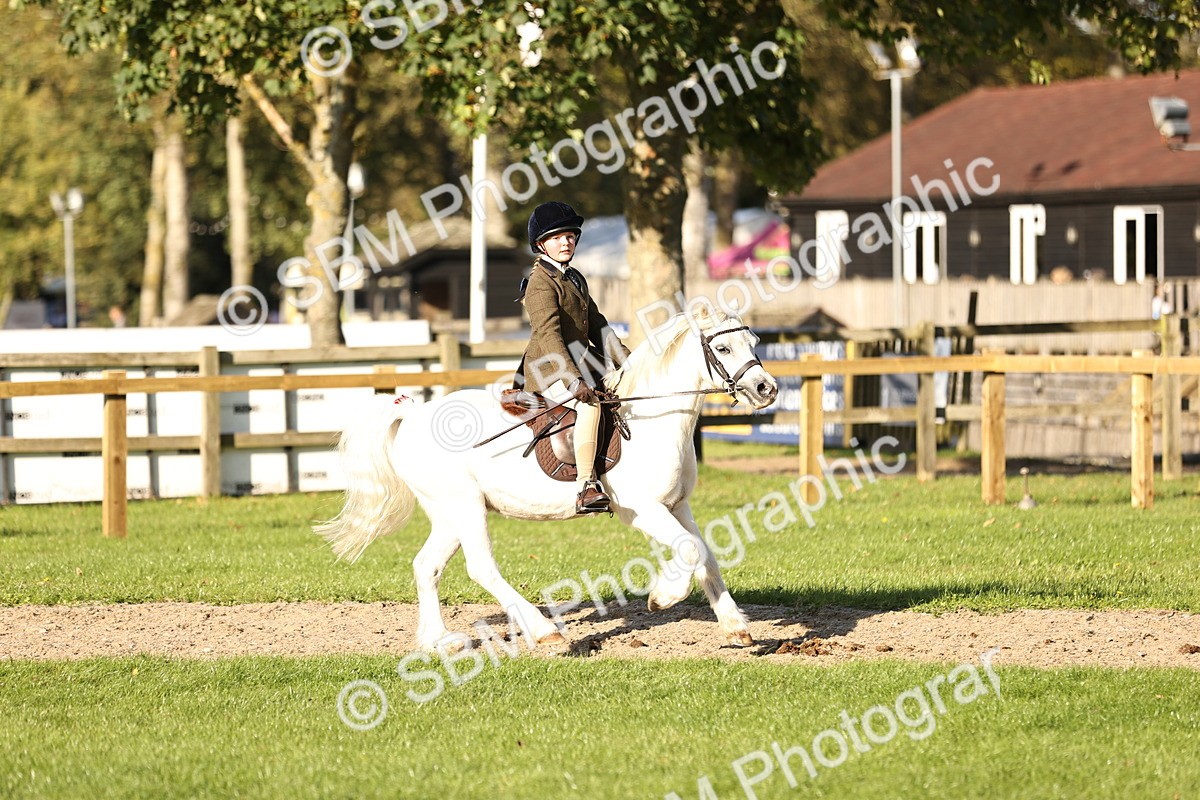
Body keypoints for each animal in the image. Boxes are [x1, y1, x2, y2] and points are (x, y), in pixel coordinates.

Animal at [315, 306, 779, 651]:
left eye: (753, 343)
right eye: (722, 346)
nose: (766, 389)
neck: (652, 419)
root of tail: (412, 414)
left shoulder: (677, 506)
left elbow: (706, 555)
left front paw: (735, 625)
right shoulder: (643, 510)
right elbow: (690, 550)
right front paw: (663, 595)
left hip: (447, 513)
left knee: (426, 566)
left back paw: (438, 641)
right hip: (463, 506)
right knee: (481, 568)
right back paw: (544, 631)